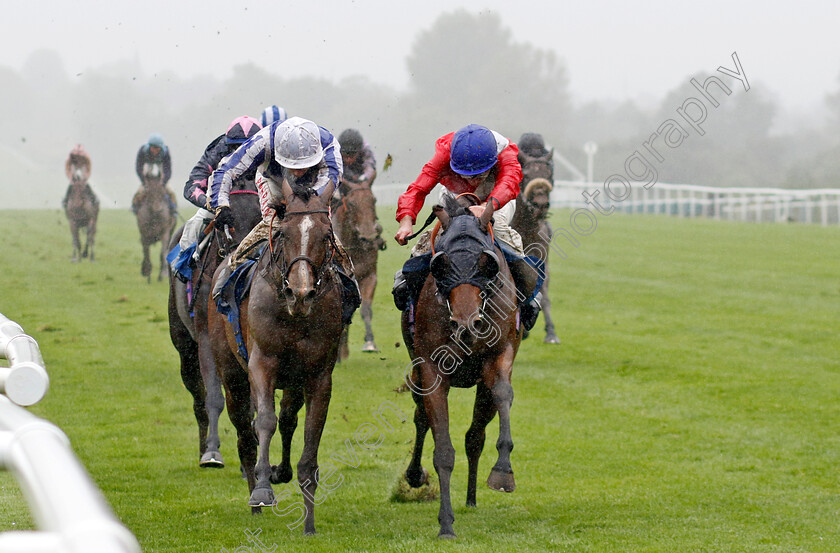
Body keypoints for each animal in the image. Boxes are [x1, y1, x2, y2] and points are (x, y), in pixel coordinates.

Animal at [168, 177, 262, 466]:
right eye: (227, 222)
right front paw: (211, 451)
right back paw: (203, 447)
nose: (242, 258)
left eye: (259, 216)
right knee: (197, 395)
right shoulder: (207, 337)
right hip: (183, 345)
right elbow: (213, 396)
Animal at [212, 179, 346, 532]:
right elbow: (264, 421)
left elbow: (310, 431)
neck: (293, 315)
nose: (300, 294)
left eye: (326, 234)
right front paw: (261, 489)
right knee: (245, 431)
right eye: (284, 233)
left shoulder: (317, 374)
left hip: (293, 381)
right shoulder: (262, 363)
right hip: (231, 373)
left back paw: (280, 471)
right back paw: (255, 490)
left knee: (288, 417)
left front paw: (309, 520)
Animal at [334, 181, 382, 354]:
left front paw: (370, 341)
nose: (368, 236)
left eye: (374, 200)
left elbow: (366, 309)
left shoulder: (369, 275)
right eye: (351, 204)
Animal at [400, 193, 520, 536]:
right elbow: (442, 447)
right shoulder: (430, 367)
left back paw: (470, 497)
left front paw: (503, 472)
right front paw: (446, 523)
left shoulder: (499, 353)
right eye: (440, 265)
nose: (467, 324)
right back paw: (415, 475)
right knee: (421, 416)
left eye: (488, 263)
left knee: (475, 434)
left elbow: (502, 393)